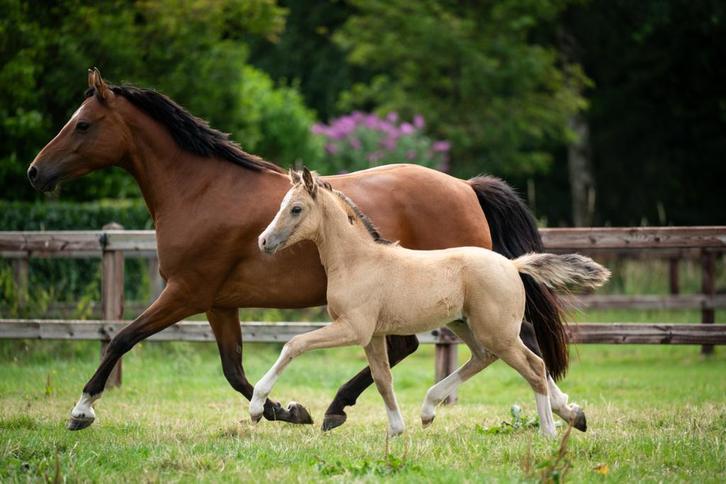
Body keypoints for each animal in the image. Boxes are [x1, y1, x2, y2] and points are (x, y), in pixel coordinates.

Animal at [252, 168, 609, 436]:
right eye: (282, 204)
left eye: (296, 208)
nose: (264, 241)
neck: (358, 262)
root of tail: (512, 265)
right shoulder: (373, 335)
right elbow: (382, 379)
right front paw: (396, 429)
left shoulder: (353, 328)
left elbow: (295, 344)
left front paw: (257, 406)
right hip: (466, 325)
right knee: (484, 357)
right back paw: (427, 410)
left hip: (497, 331)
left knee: (533, 366)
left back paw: (549, 430)